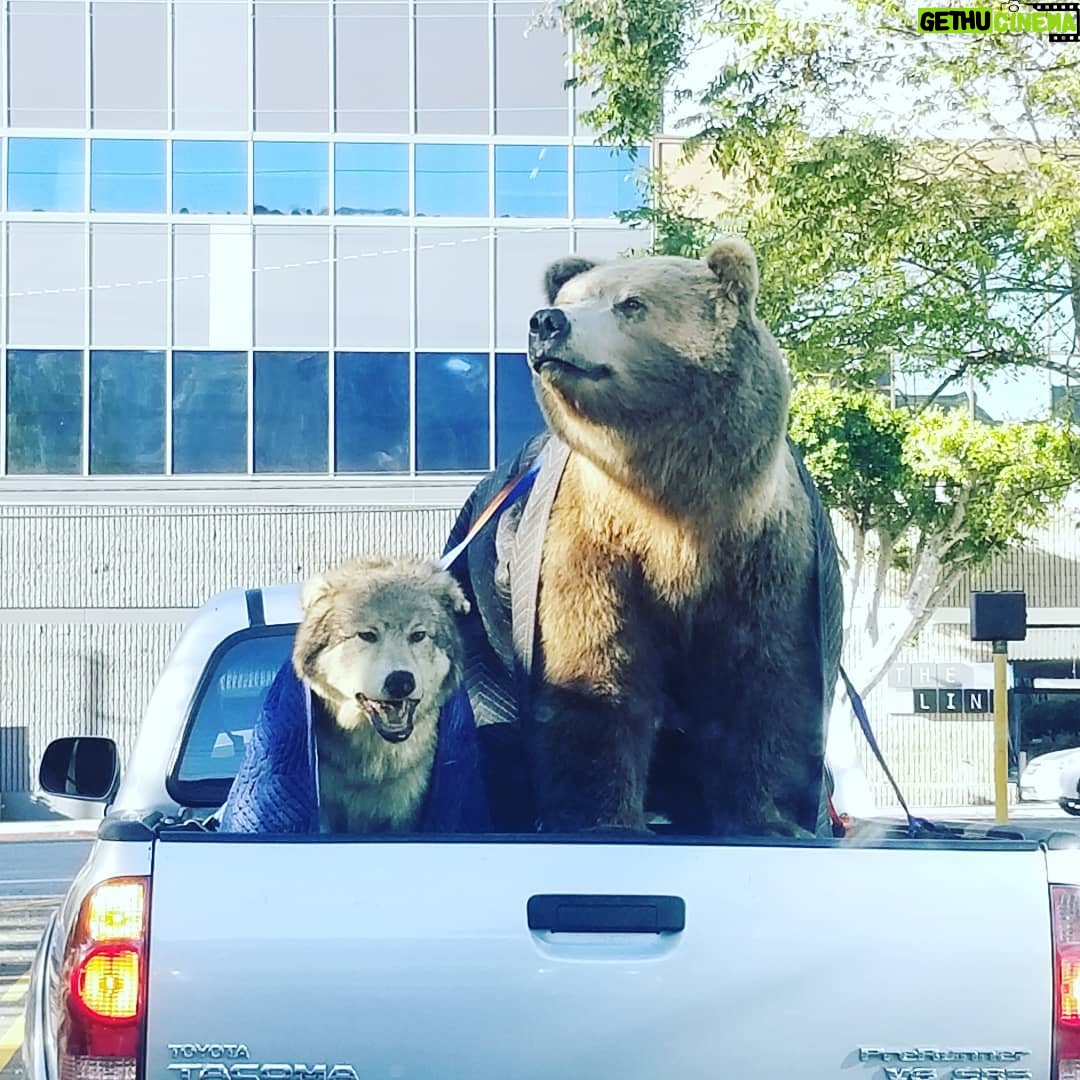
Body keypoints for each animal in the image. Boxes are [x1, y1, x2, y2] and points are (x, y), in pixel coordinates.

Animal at [292, 556, 471, 834]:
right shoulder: (325, 812)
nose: (401, 682)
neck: (371, 769)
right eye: (367, 635)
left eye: (418, 635)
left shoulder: (407, 813)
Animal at [453, 236, 840, 839]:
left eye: (631, 303)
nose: (546, 322)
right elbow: (594, 663)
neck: (672, 500)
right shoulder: (593, 541)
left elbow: (761, 677)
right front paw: (602, 817)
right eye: (573, 297)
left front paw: (766, 817)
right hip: (480, 611)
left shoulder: (764, 551)